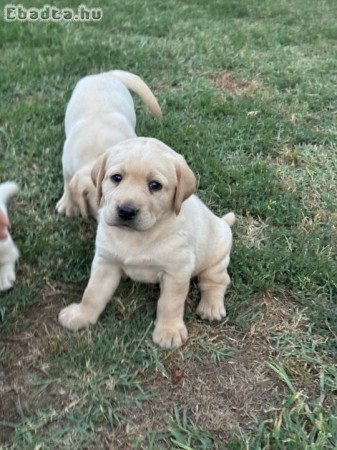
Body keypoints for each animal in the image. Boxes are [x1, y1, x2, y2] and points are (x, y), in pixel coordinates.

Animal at [56, 69, 161, 221]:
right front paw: (68, 205)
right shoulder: (67, 163)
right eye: (99, 208)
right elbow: (67, 183)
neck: (98, 151)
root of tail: (104, 74)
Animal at [58, 137, 234, 348]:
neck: (137, 237)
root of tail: (222, 222)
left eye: (155, 185)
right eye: (116, 178)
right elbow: (92, 293)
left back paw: (211, 306)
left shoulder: (176, 272)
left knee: (216, 281)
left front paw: (169, 331)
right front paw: (81, 315)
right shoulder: (105, 263)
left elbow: (170, 303)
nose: (126, 211)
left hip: (217, 256)